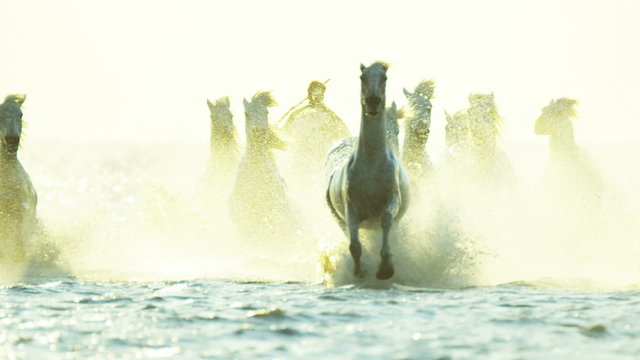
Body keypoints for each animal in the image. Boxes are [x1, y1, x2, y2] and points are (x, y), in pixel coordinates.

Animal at [324, 63, 410, 280]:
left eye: (385, 77)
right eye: (362, 77)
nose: (372, 101)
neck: (371, 163)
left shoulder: (392, 199)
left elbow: (386, 221)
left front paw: (385, 268)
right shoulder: (351, 209)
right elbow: (354, 245)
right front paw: (359, 271)